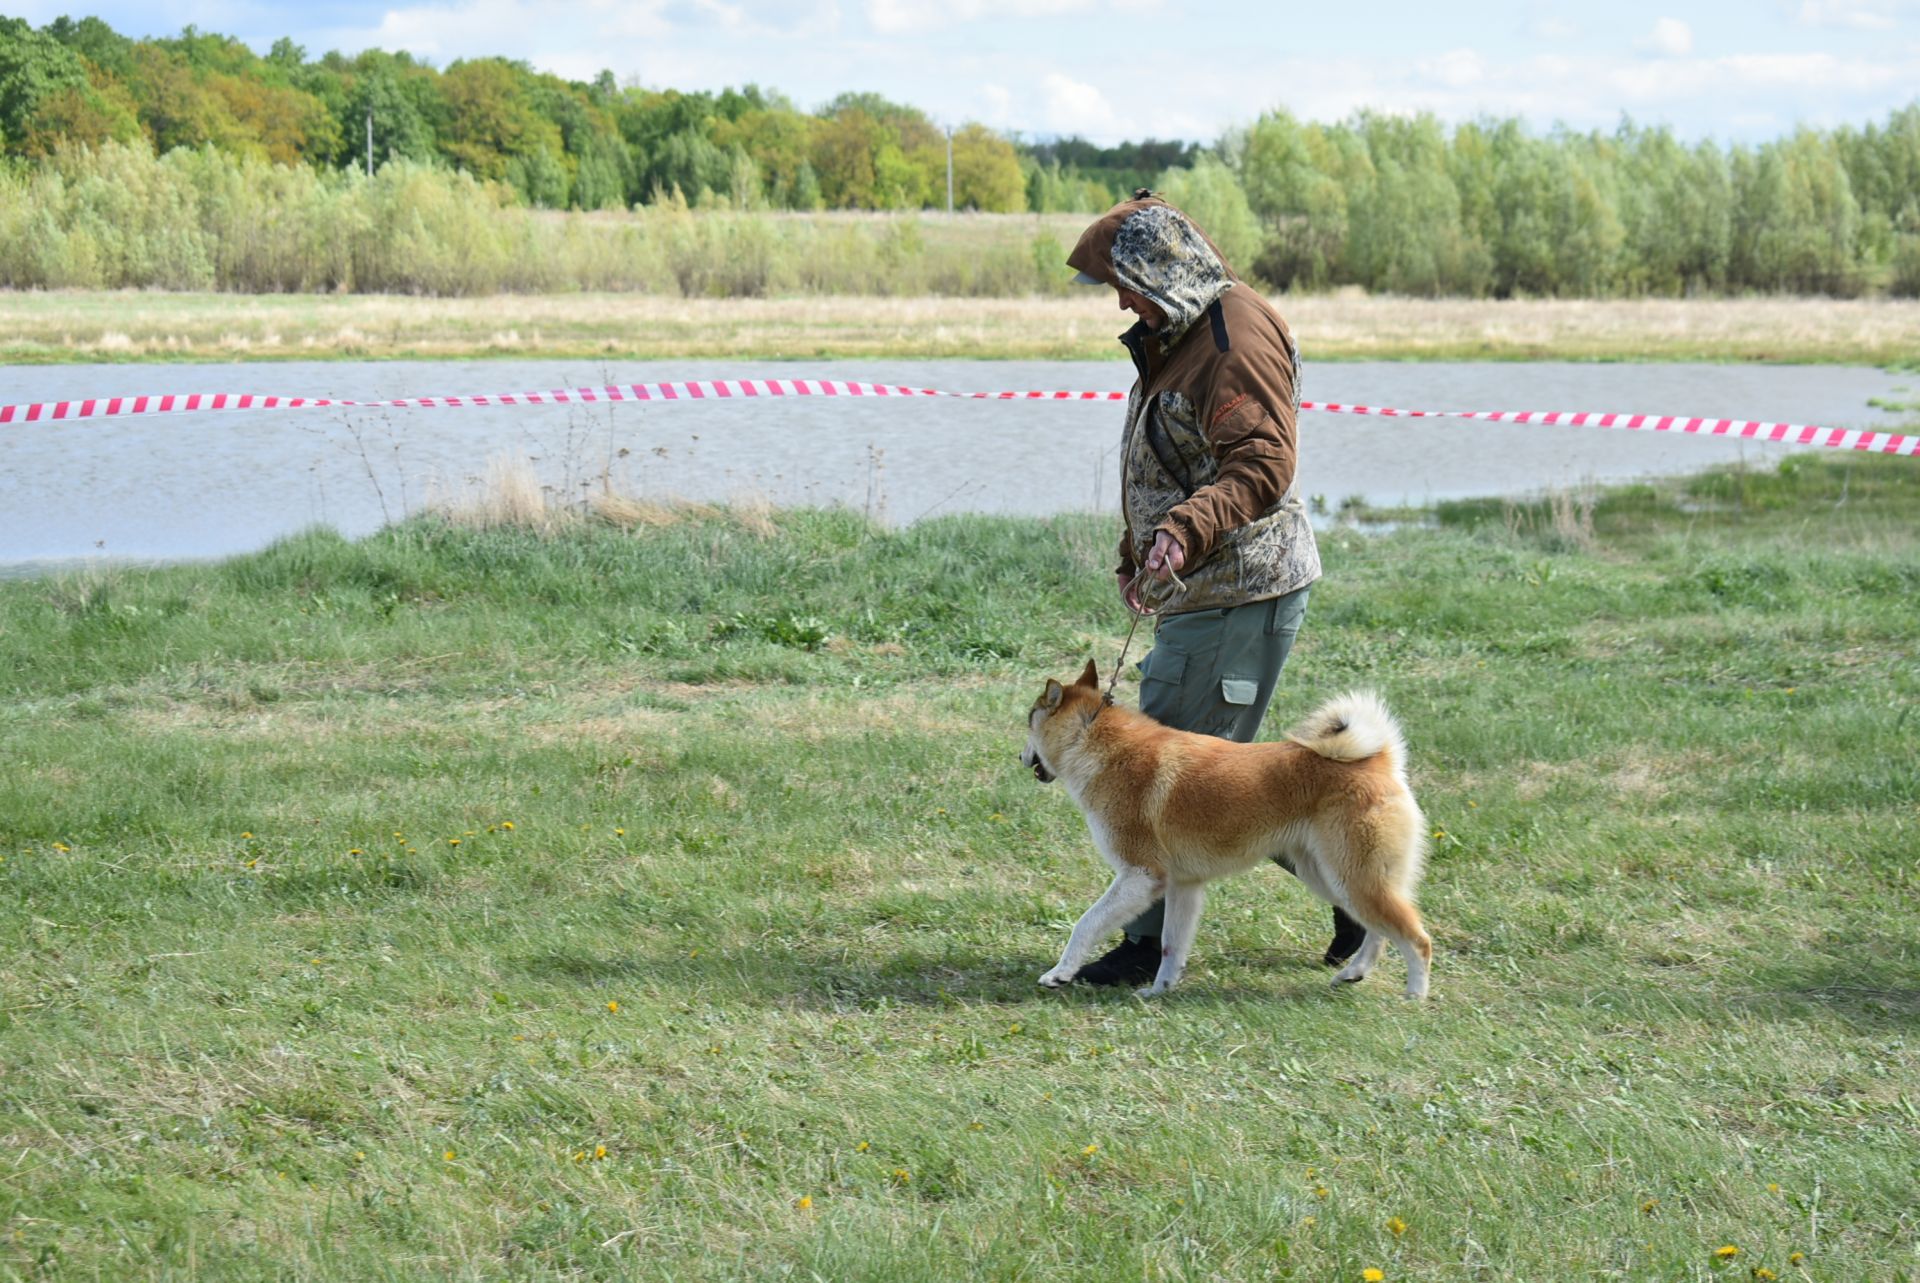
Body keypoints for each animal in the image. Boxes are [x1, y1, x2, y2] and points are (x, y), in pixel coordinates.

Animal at [1029, 660, 1436, 998]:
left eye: (1028, 721)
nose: (1021, 756)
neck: (1099, 746)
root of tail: (1379, 761)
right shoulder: (1183, 885)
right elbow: (1171, 946)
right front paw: (1159, 991)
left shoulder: (1141, 875)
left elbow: (1086, 923)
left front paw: (1059, 973)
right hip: (1329, 876)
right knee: (1378, 931)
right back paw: (1354, 972)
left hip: (1351, 878)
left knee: (1417, 939)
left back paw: (1414, 996)